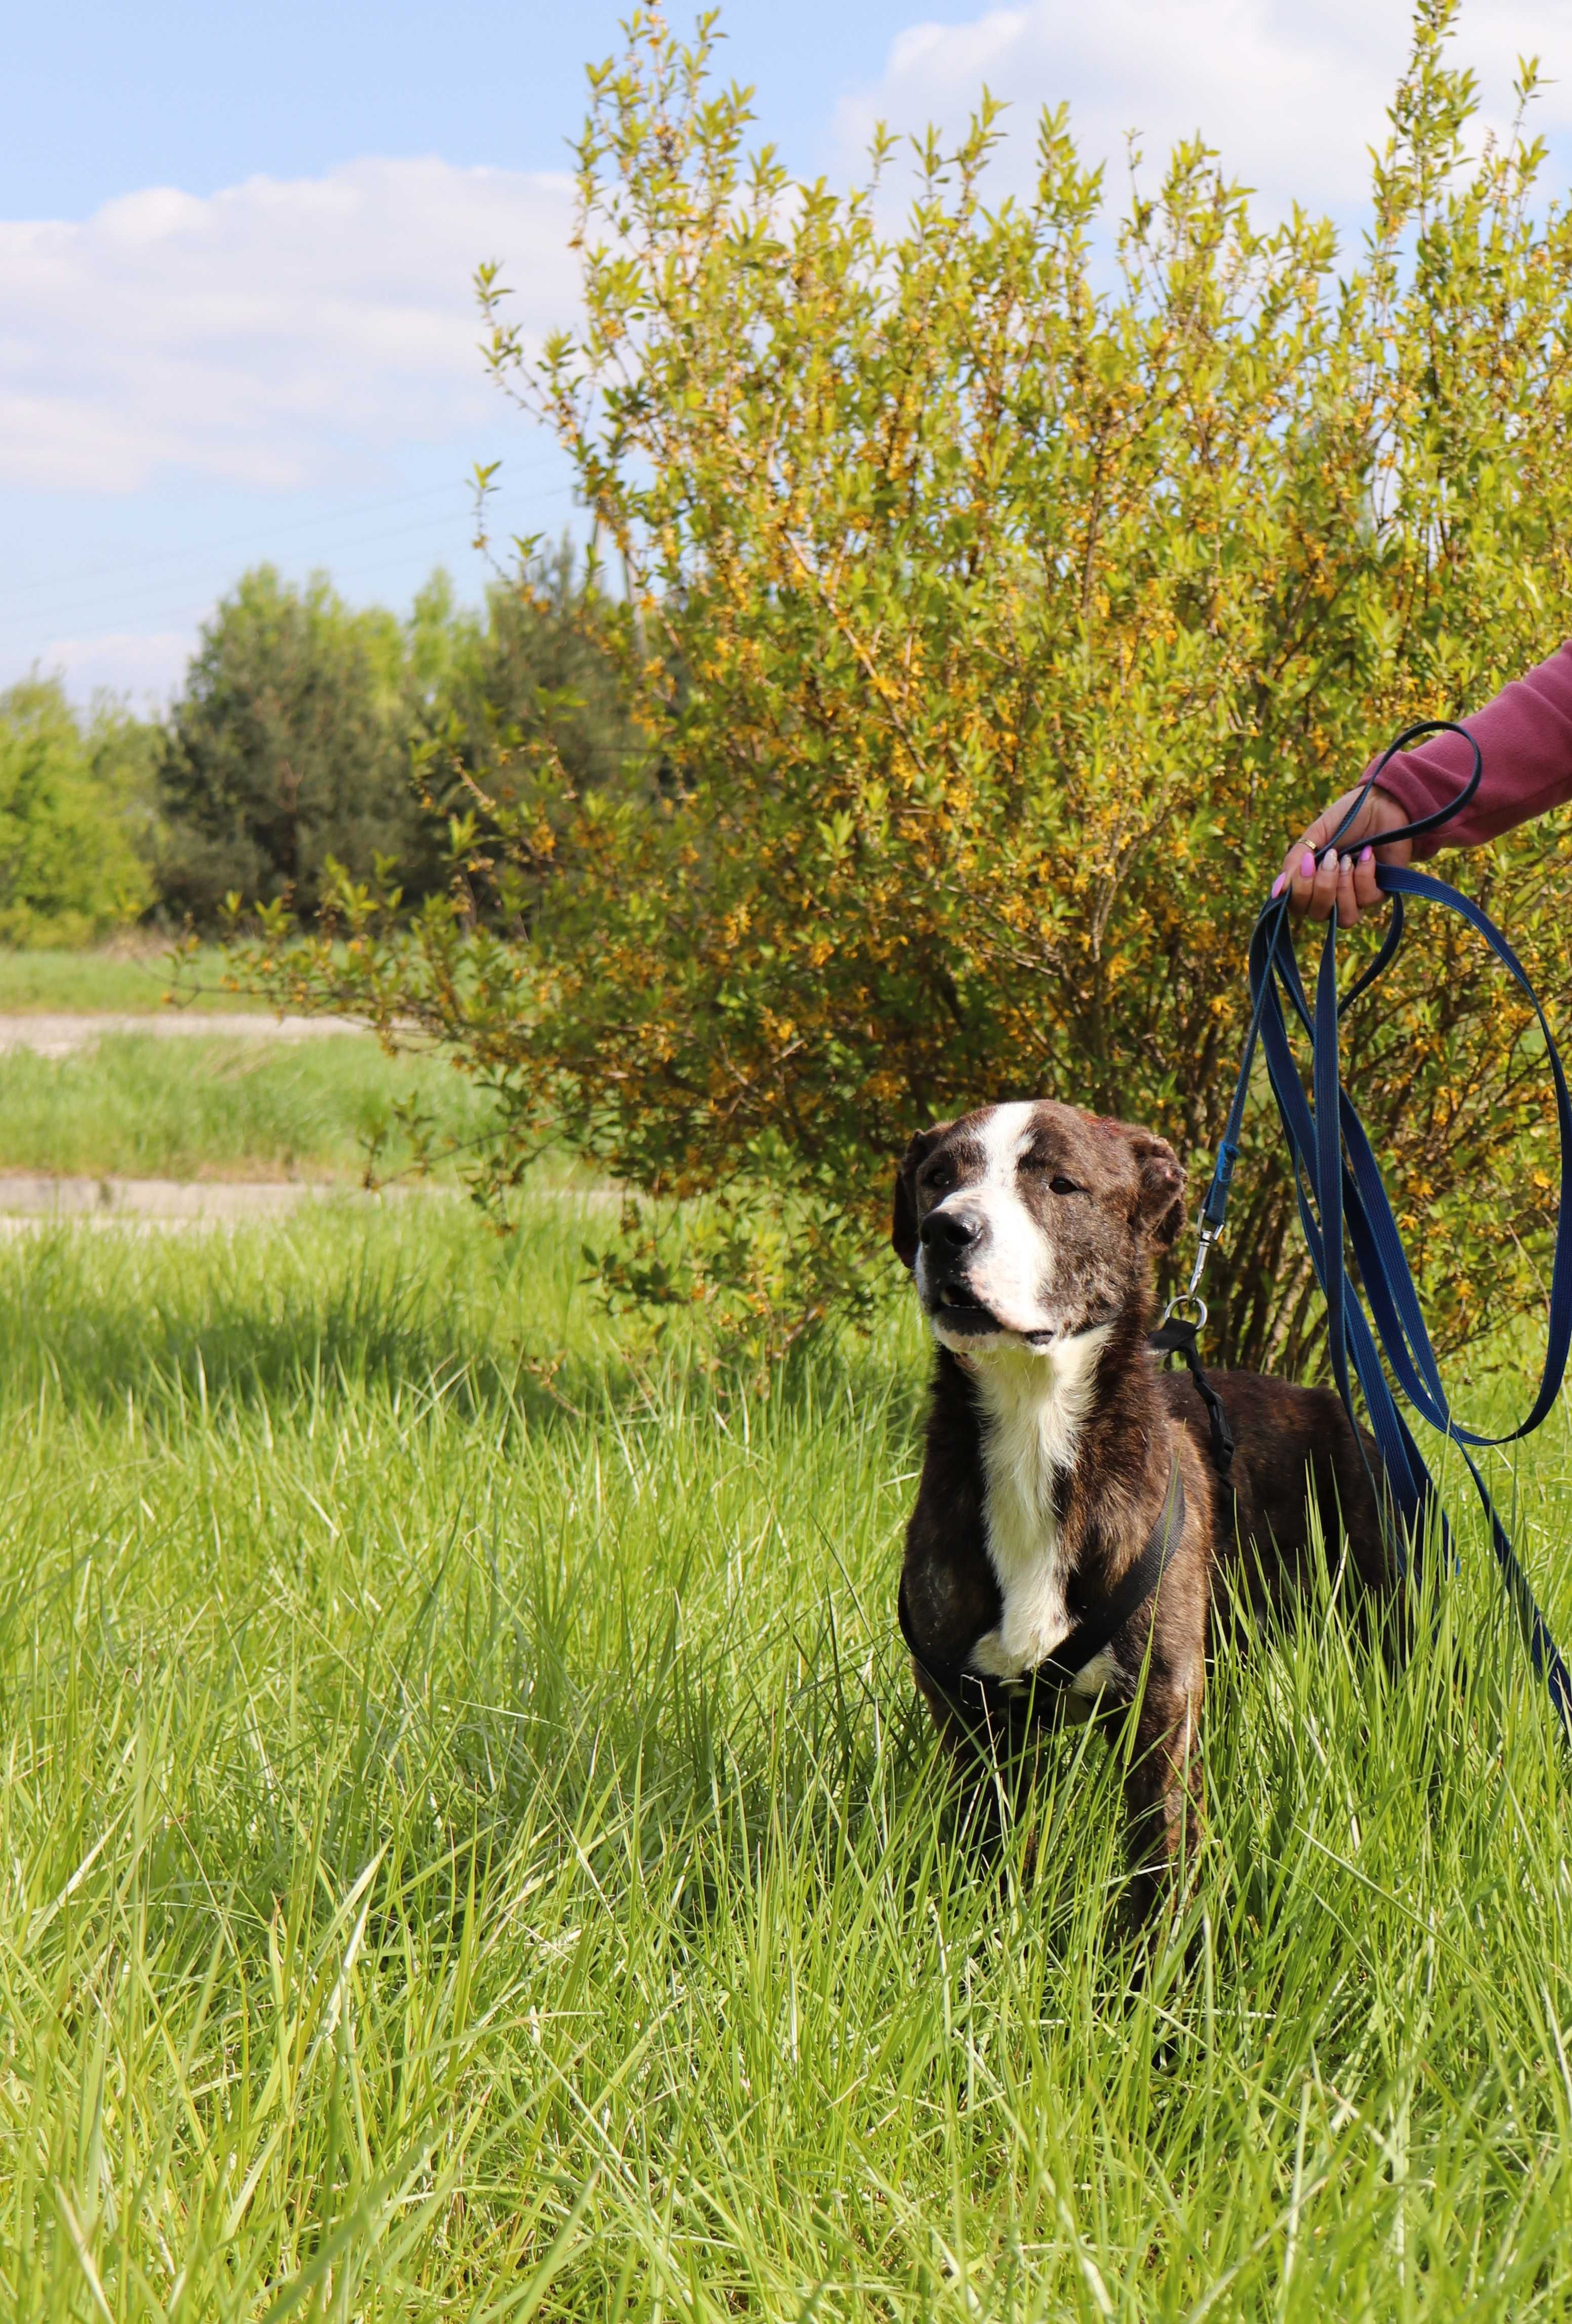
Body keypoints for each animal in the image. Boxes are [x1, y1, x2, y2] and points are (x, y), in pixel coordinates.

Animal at [888, 1096, 1395, 1915]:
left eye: (1060, 1183)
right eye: (936, 1178)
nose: (946, 1229)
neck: (1034, 1425)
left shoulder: (1159, 1710)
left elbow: (1158, 1867)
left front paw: (1156, 1953)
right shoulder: (969, 1714)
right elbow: (992, 1858)